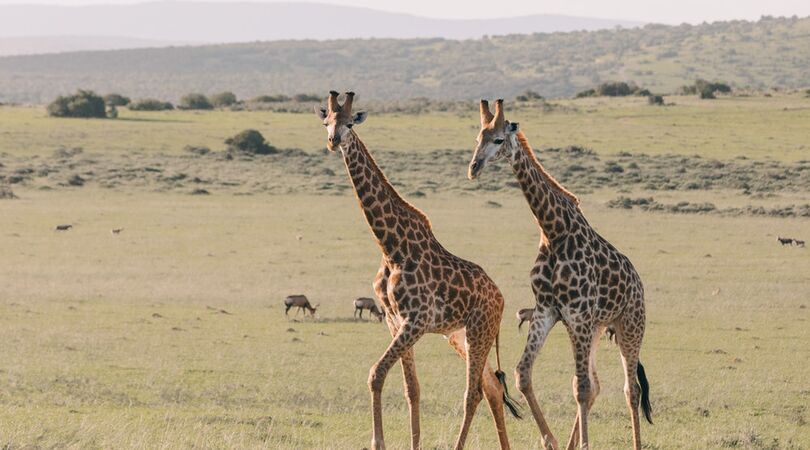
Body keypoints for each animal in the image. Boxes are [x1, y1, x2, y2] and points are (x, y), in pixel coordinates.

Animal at [315, 91, 520, 450]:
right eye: (326, 121)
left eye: (350, 123)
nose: (333, 141)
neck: (391, 247)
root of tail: (501, 299)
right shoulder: (394, 319)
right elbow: (412, 389)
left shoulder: (417, 320)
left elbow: (376, 374)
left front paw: (378, 442)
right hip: (460, 336)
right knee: (493, 387)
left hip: (479, 330)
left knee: (473, 393)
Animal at [467, 99, 653, 450]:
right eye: (477, 138)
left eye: (498, 139)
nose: (474, 167)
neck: (553, 232)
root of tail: (638, 282)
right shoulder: (548, 310)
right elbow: (523, 374)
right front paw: (551, 440)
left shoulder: (577, 313)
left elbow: (580, 387)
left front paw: (582, 444)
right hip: (595, 328)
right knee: (595, 383)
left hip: (629, 325)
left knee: (630, 388)